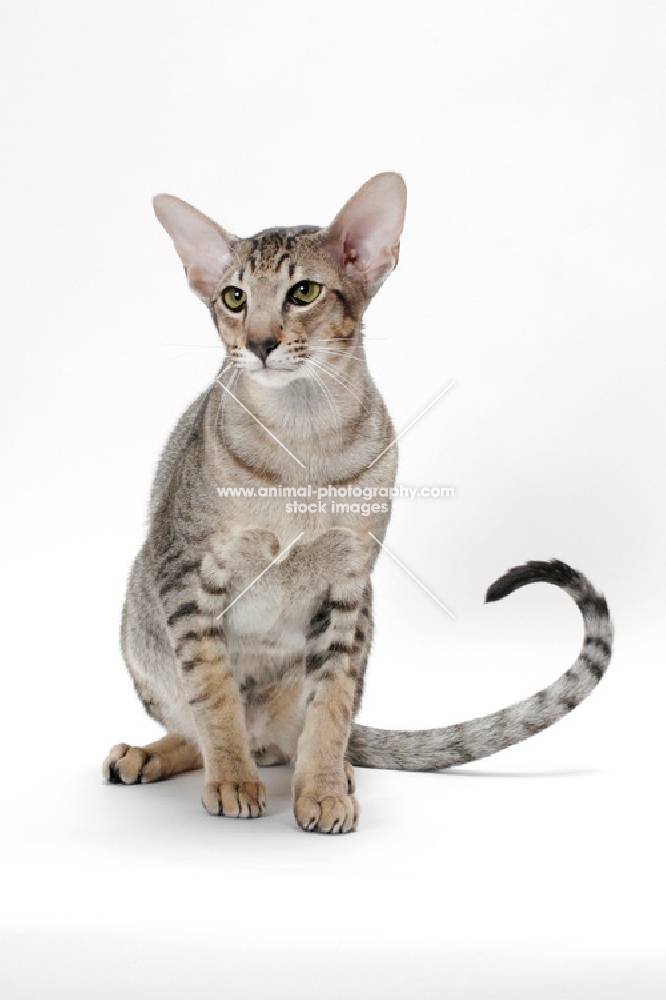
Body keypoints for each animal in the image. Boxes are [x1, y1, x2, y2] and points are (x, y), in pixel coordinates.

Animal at [105, 176, 612, 832]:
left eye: (304, 292)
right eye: (234, 297)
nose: (259, 342)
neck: (301, 445)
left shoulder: (347, 586)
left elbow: (332, 701)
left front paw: (321, 790)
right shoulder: (186, 575)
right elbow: (212, 693)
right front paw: (234, 780)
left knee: (302, 736)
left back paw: (330, 768)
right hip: (138, 619)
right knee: (200, 724)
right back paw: (157, 755)